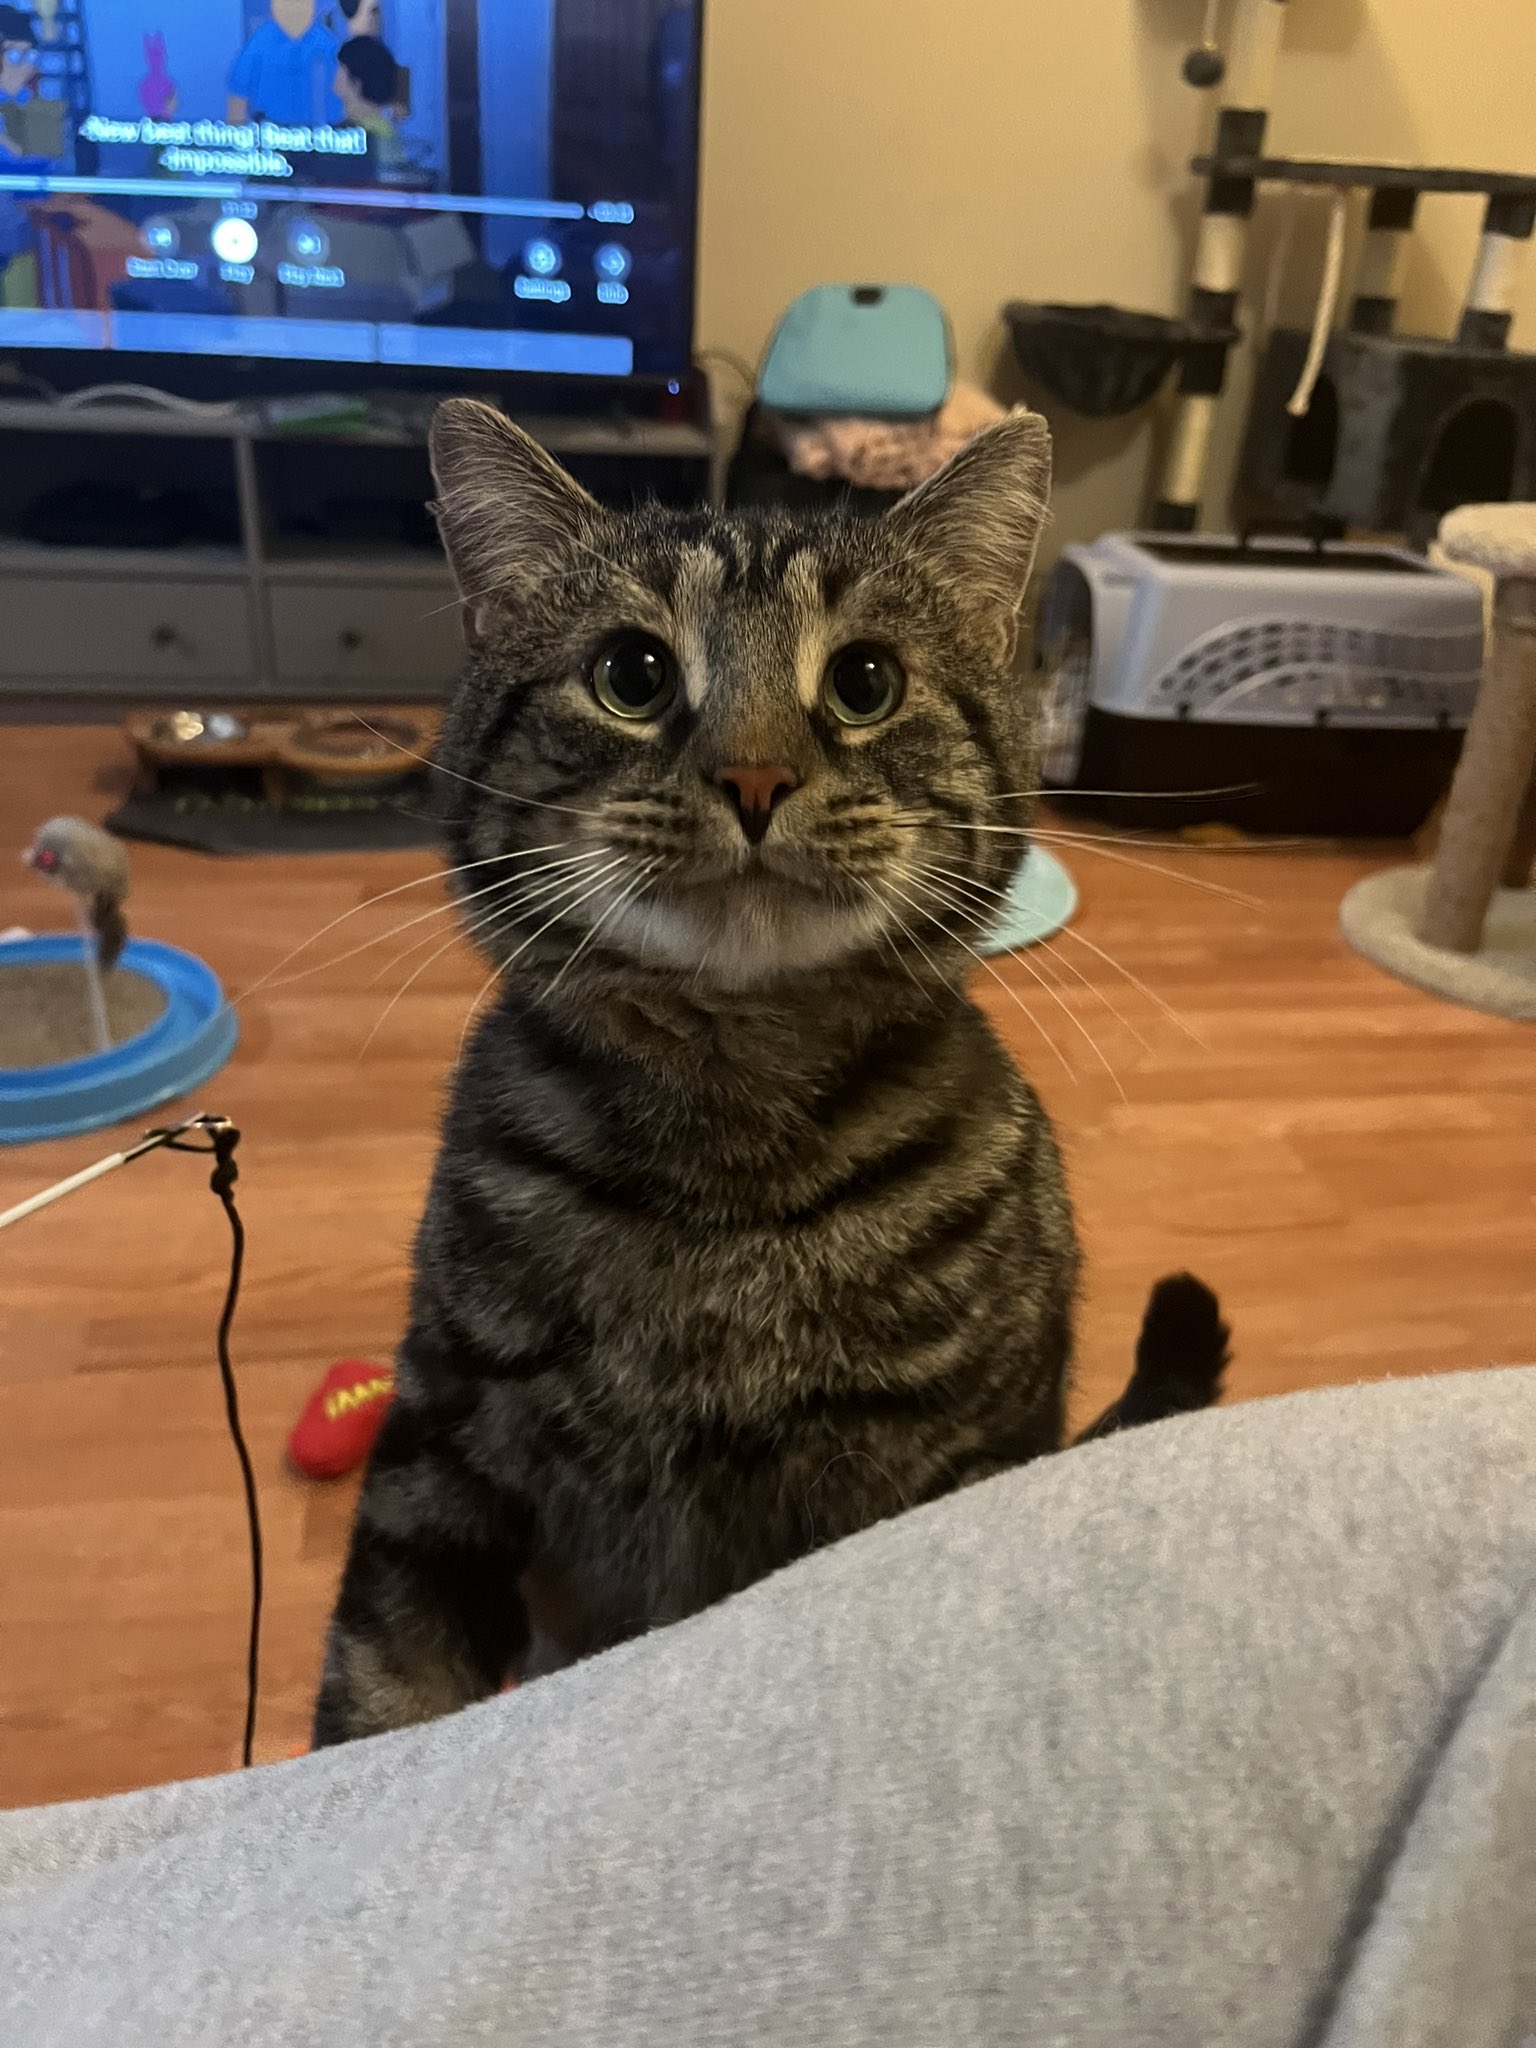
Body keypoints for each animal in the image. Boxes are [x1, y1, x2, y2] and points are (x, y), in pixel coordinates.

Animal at [313, 399, 1228, 1744]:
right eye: (632, 675)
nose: (754, 775)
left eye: (865, 682)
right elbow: (387, 1691)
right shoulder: (443, 1436)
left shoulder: (940, 1475)